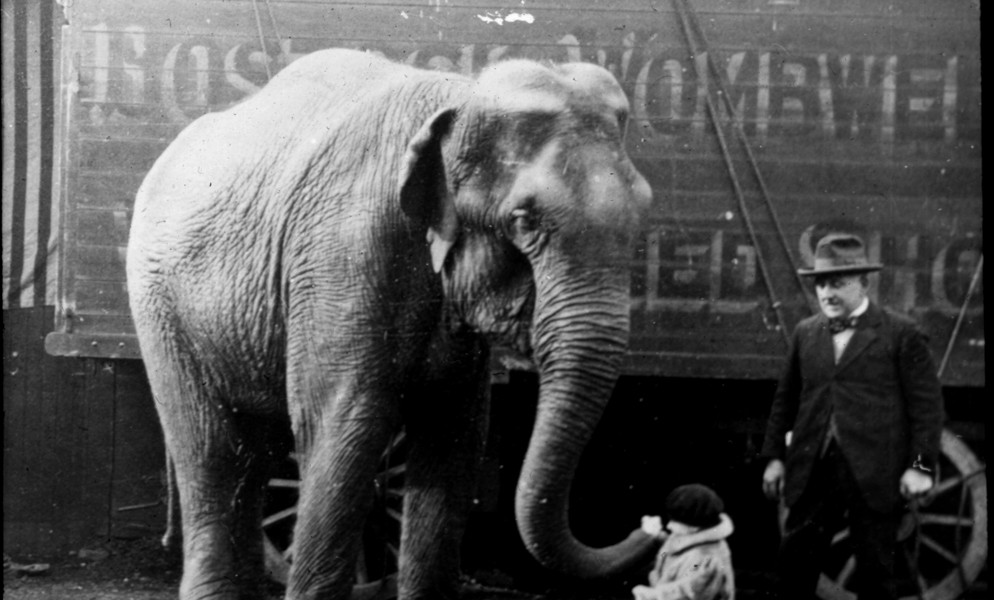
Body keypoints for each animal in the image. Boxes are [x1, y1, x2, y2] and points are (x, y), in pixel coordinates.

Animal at [126, 47, 657, 600]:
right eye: (523, 221)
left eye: (643, 215)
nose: (649, 527)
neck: (460, 95)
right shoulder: (344, 252)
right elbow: (346, 425)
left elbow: (455, 437)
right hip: (158, 302)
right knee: (212, 451)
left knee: (256, 454)